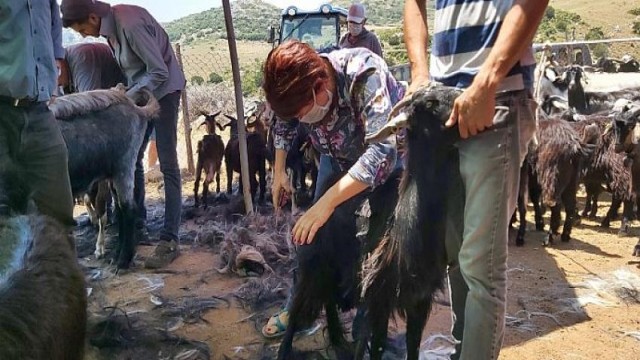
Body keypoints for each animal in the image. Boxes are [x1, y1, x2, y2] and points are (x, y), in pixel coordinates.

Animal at [360, 83, 460, 358]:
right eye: (430, 104)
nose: (464, 96)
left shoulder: (421, 299)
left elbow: (413, 343)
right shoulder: (378, 298)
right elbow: (378, 344)